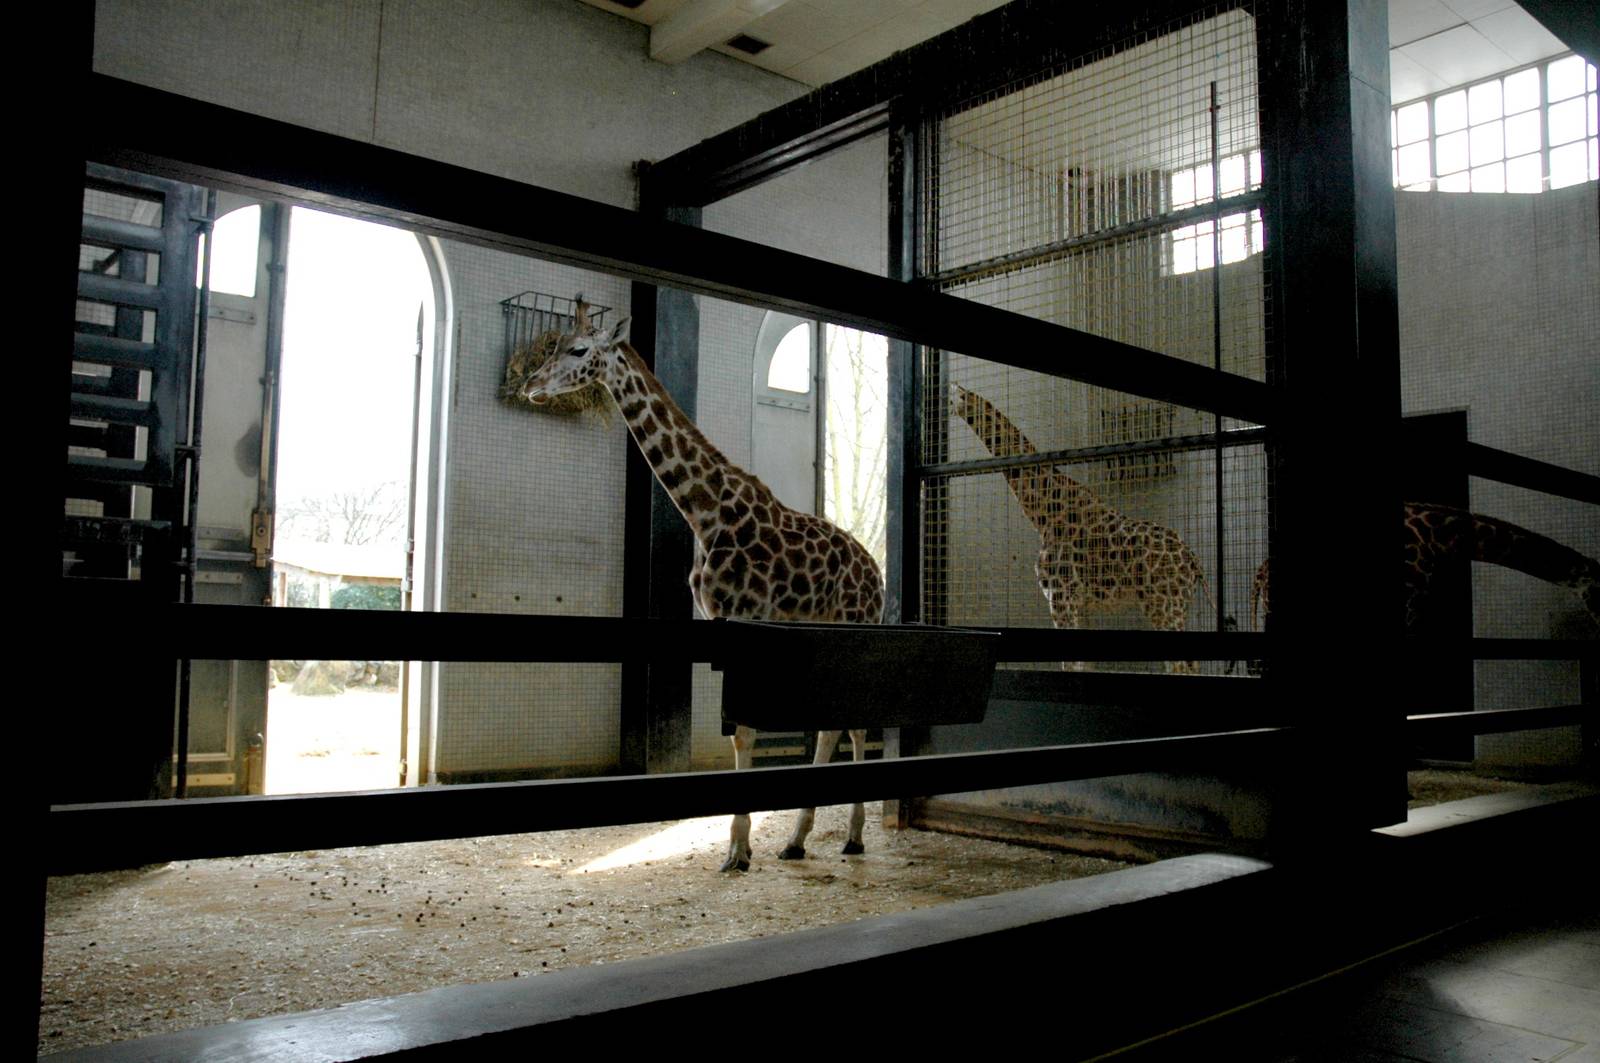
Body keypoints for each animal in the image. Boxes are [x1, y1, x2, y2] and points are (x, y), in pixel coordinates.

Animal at [518, 298, 885, 872]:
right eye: (552, 345)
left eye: (577, 349)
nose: (530, 384)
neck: (705, 513)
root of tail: (876, 573)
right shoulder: (720, 624)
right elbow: (742, 735)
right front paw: (745, 846)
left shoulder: (745, 620)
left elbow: (744, 732)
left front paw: (737, 850)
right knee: (832, 723)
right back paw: (799, 840)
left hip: (854, 629)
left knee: (854, 721)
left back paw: (852, 835)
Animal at [949, 384, 1212, 671]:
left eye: (950, 399)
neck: (1044, 514)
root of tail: (1193, 560)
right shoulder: (1081, 606)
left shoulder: (1061, 596)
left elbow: (1070, 665)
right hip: (1175, 604)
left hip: (1163, 603)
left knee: (1181, 665)